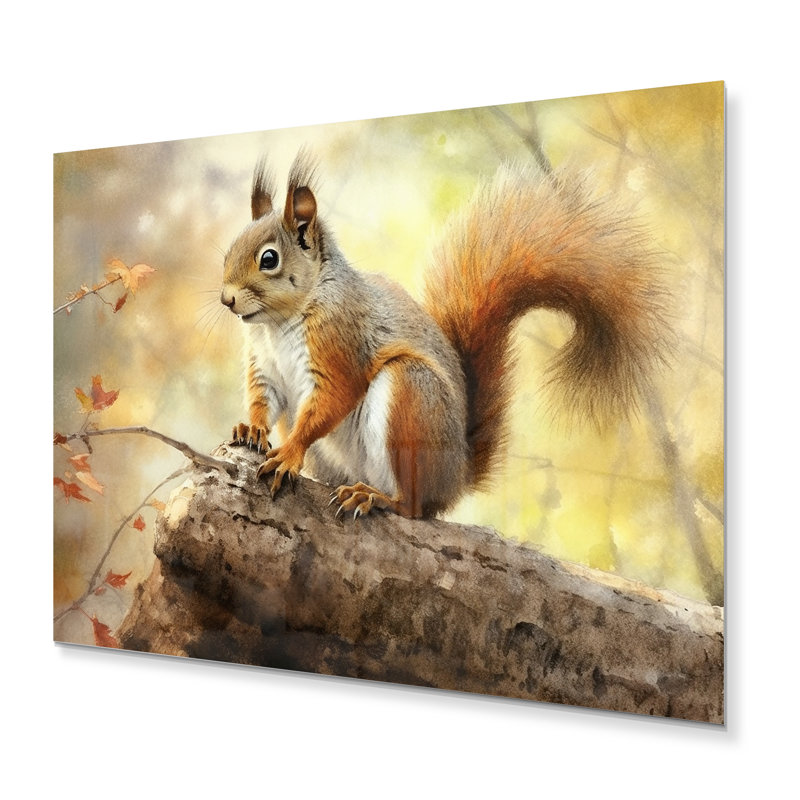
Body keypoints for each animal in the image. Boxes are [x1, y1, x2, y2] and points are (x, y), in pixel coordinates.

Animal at [220, 151, 669, 519]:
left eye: (269, 259)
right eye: (228, 251)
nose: (226, 299)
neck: (279, 324)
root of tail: (455, 477)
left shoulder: (340, 344)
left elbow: (330, 401)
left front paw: (289, 452)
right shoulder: (264, 364)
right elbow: (264, 399)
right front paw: (252, 430)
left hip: (412, 399)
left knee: (414, 507)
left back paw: (375, 497)